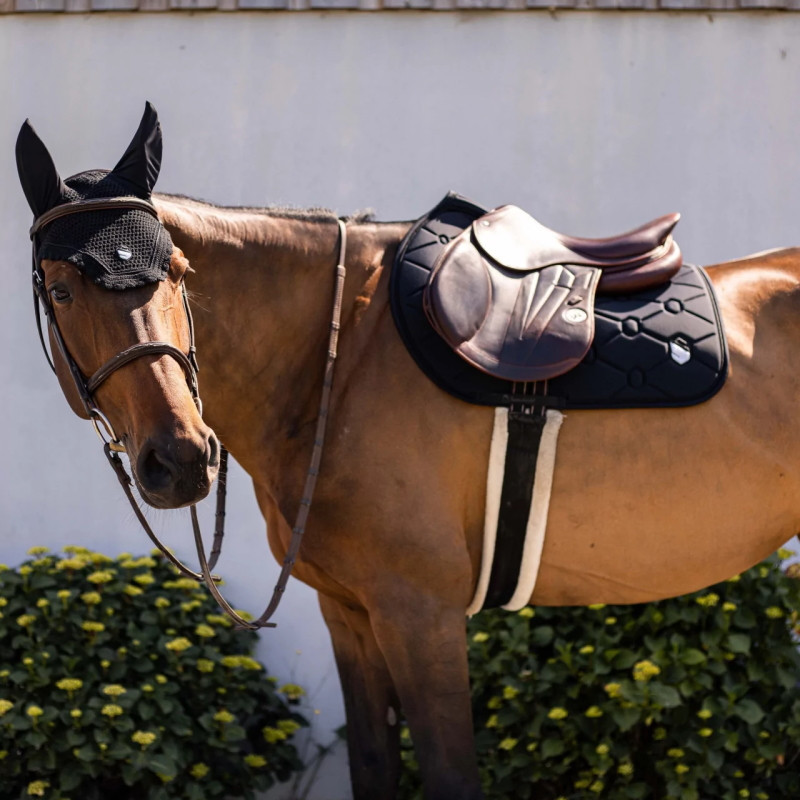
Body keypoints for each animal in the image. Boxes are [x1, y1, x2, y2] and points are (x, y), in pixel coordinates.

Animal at [16, 106, 800, 800]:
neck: (339, 356)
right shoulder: (351, 616)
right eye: (62, 289)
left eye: (178, 270)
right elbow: (373, 769)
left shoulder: (420, 616)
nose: (179, 457)